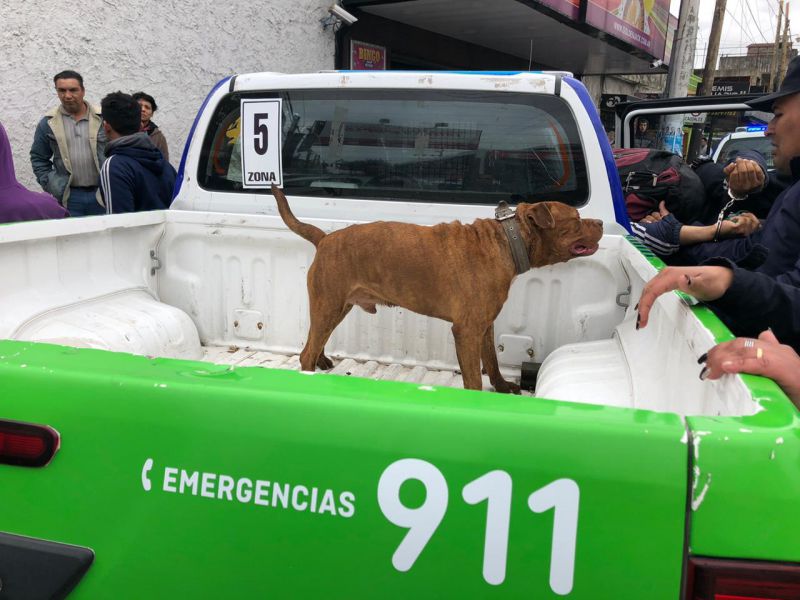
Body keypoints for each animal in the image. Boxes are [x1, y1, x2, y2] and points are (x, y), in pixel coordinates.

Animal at [272, 186, 604, 394]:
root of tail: (324, 238)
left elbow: (492, 362)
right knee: (306, 351)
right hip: (328, 304)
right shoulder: (467, 331)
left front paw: (501, 387)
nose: (600, 221)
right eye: (576, 220)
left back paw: (323, 360)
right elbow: (473, 377)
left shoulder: (484, 325)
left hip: (336, 306)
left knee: (316, 340)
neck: (509, 240)